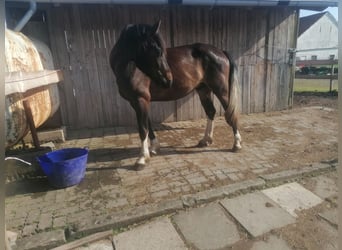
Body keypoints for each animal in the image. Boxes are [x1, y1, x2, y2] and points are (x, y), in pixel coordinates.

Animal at [109, 20, 240, 169]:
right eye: (157, 51)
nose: (169, 80)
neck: (131, 69)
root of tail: (220, 52)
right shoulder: (137, 102)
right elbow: (148, 124)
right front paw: (154, 148)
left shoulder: (140, 99)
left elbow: (142, 128)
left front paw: (142, 158)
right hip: (203, 90)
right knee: (211, 111)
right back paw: (206, 140)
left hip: (221, 90)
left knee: (231, 114)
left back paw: (236, 144)